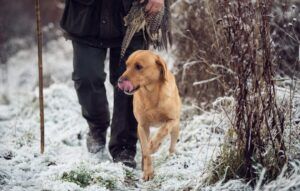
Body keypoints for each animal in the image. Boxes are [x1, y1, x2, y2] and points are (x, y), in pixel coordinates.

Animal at [118, 50, 182, 180]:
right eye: (126, 65)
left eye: (138, 66)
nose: (119, 81)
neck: (151, 93)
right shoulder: (142, 126)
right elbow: (146, 151)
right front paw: (148, 172)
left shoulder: (172, 120)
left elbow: (163, 130)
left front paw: (154, 146)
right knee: (144, 149)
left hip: (176, 128)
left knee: (172, 146)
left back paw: (171, 158)